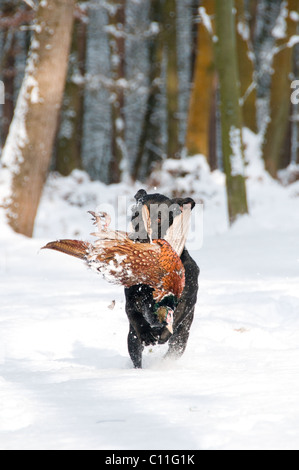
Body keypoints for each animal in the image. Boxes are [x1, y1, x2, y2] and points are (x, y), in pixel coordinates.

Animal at [125, 189, 200, 370]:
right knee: (136, 354)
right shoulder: (132, 300)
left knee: (173, 349)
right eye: (135, 215)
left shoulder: (185, 300)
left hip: (182, 337)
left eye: (159, 218)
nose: (138, 236)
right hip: (131, 339)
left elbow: (175, 316)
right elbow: (135, 316)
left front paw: (162, 334)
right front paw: (147, 333)